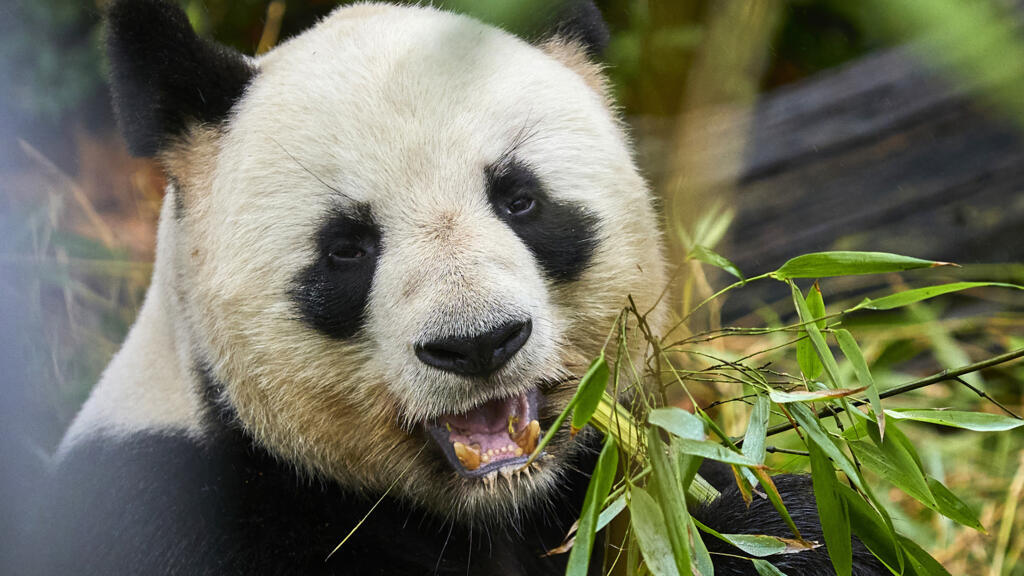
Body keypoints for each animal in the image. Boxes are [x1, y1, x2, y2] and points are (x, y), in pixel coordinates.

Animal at [41, 1, 884, 575]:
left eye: (520, 200)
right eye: (346, 248)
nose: (478, 344)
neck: (493, 508)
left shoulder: (629, 494)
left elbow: (776, 528)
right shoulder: (178, 511)